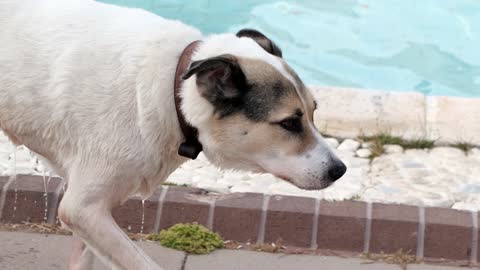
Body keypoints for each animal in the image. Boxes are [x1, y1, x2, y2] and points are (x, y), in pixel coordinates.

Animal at [0, 0, 344, 268]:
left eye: (313, 112)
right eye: (289, 123)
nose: (340, 170)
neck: (173, 88)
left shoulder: (87, 209)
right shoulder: (82, 209)